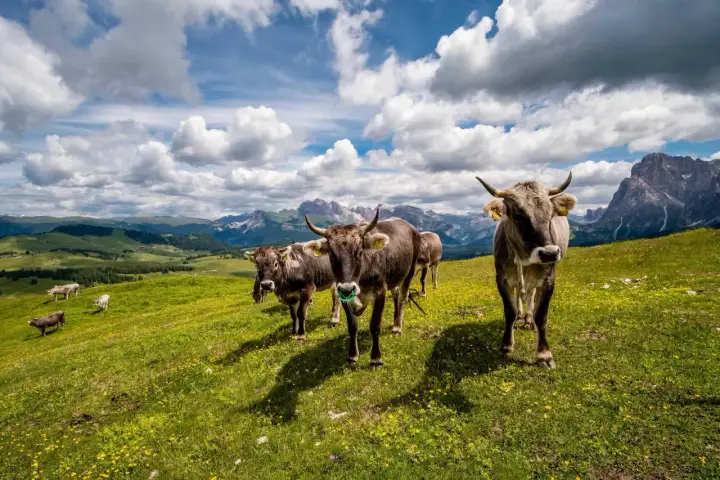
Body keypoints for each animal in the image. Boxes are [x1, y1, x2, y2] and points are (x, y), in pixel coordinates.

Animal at [303, 210, 421, 367]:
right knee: (396, 293)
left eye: (360, 252)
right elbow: (352, 325)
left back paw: (397, 327)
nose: (348, 288)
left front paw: (376, 358)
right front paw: (352, 355)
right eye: (332, 254)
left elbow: (375, 325)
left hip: (410, 271)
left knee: (402, 297)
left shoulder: (380, 291)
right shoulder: (343, 293)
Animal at [477, 172, 576, 369]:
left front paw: (544, 354)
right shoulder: (502, 279)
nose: (549, 253)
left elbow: (541, 315)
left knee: (531, 295)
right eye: (518, 215)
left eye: (550, 214)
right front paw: (506, 346)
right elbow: (510, 311)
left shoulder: (548, 280)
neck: (525, 259)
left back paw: (529, 319)